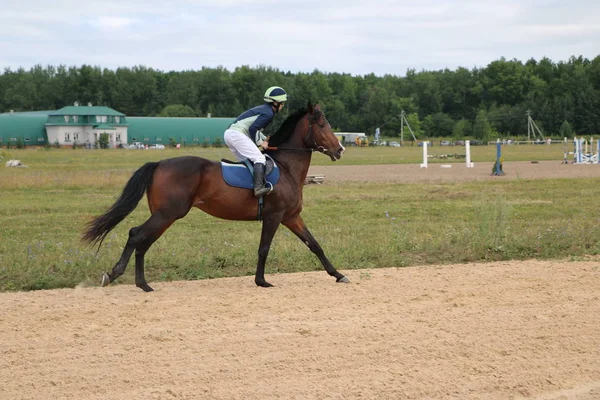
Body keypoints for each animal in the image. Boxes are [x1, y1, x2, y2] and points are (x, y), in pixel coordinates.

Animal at [82, 101, 350, 292]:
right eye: (323, 125)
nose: (340, 149)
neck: (286, 168)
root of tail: (158, 164)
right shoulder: (275, 216)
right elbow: (264, 248)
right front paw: (261, 281)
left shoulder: (291, 217)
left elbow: (314, 245)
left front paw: (338, 274)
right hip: (168, 213)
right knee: (137, 235)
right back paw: (120, 276)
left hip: (164, 215)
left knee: (142, 240)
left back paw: (140, 283)